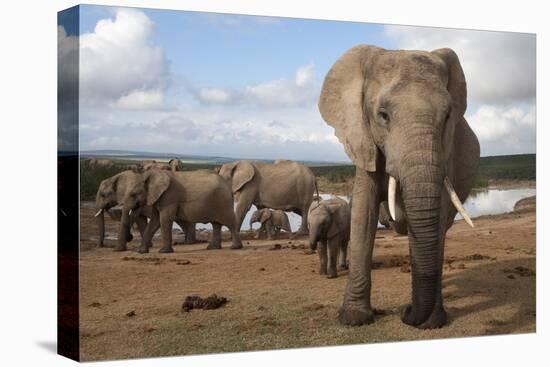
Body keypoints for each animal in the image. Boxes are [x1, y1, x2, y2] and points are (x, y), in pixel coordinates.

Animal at [320, 44, 478, 330]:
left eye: (448, 116)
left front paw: (432, 322)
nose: (405, 311)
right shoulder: (363, 138)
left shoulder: (447, 153)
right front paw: (355, 319)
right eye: (383, 116)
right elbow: (363, 213)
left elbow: (437, 217)